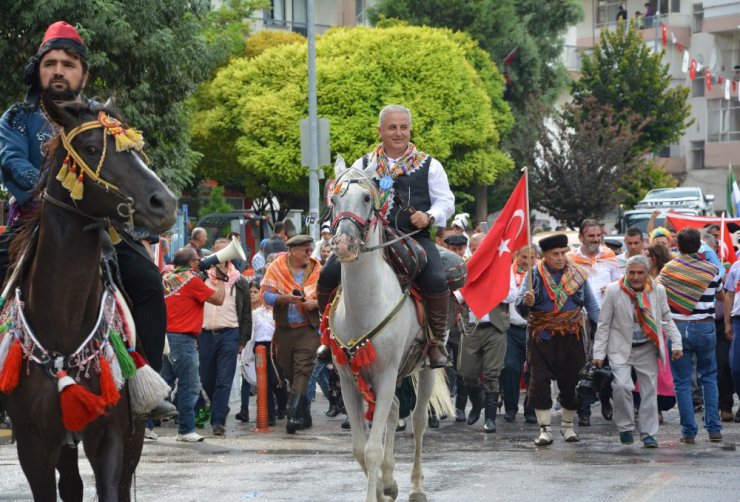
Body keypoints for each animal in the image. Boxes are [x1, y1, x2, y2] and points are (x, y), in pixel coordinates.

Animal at [0, 95, 178, 502]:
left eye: (137, 149)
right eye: (92, 148)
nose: (164, 203)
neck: (62, 323)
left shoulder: (111, 433)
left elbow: (111, 487)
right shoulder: (32, 443)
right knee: (71, 485)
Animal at [328, 157, 454, 502]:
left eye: (366, 198)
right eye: (333, 200)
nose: (344, 245)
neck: (365, 305)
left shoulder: (385, 374)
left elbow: (371, 449)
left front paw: (380, 491)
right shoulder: (348, 379)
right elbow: (360, 448)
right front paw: (383, 488)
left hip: (423, 369)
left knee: (418, 420)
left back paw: (416, 487)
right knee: (396, 410)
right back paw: (390, 479)